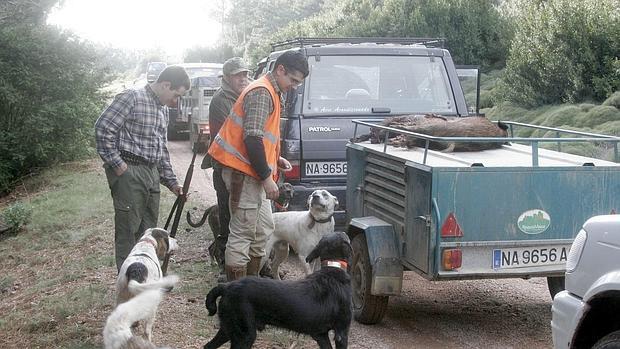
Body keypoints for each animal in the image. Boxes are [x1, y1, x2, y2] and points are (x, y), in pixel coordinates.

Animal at [205, 231, 354, 348]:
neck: (332, 267)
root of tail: (227, 286)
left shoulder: (320, 335)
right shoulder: (341, 332)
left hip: (228, 328)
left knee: (208, 346)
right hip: (244, 335)